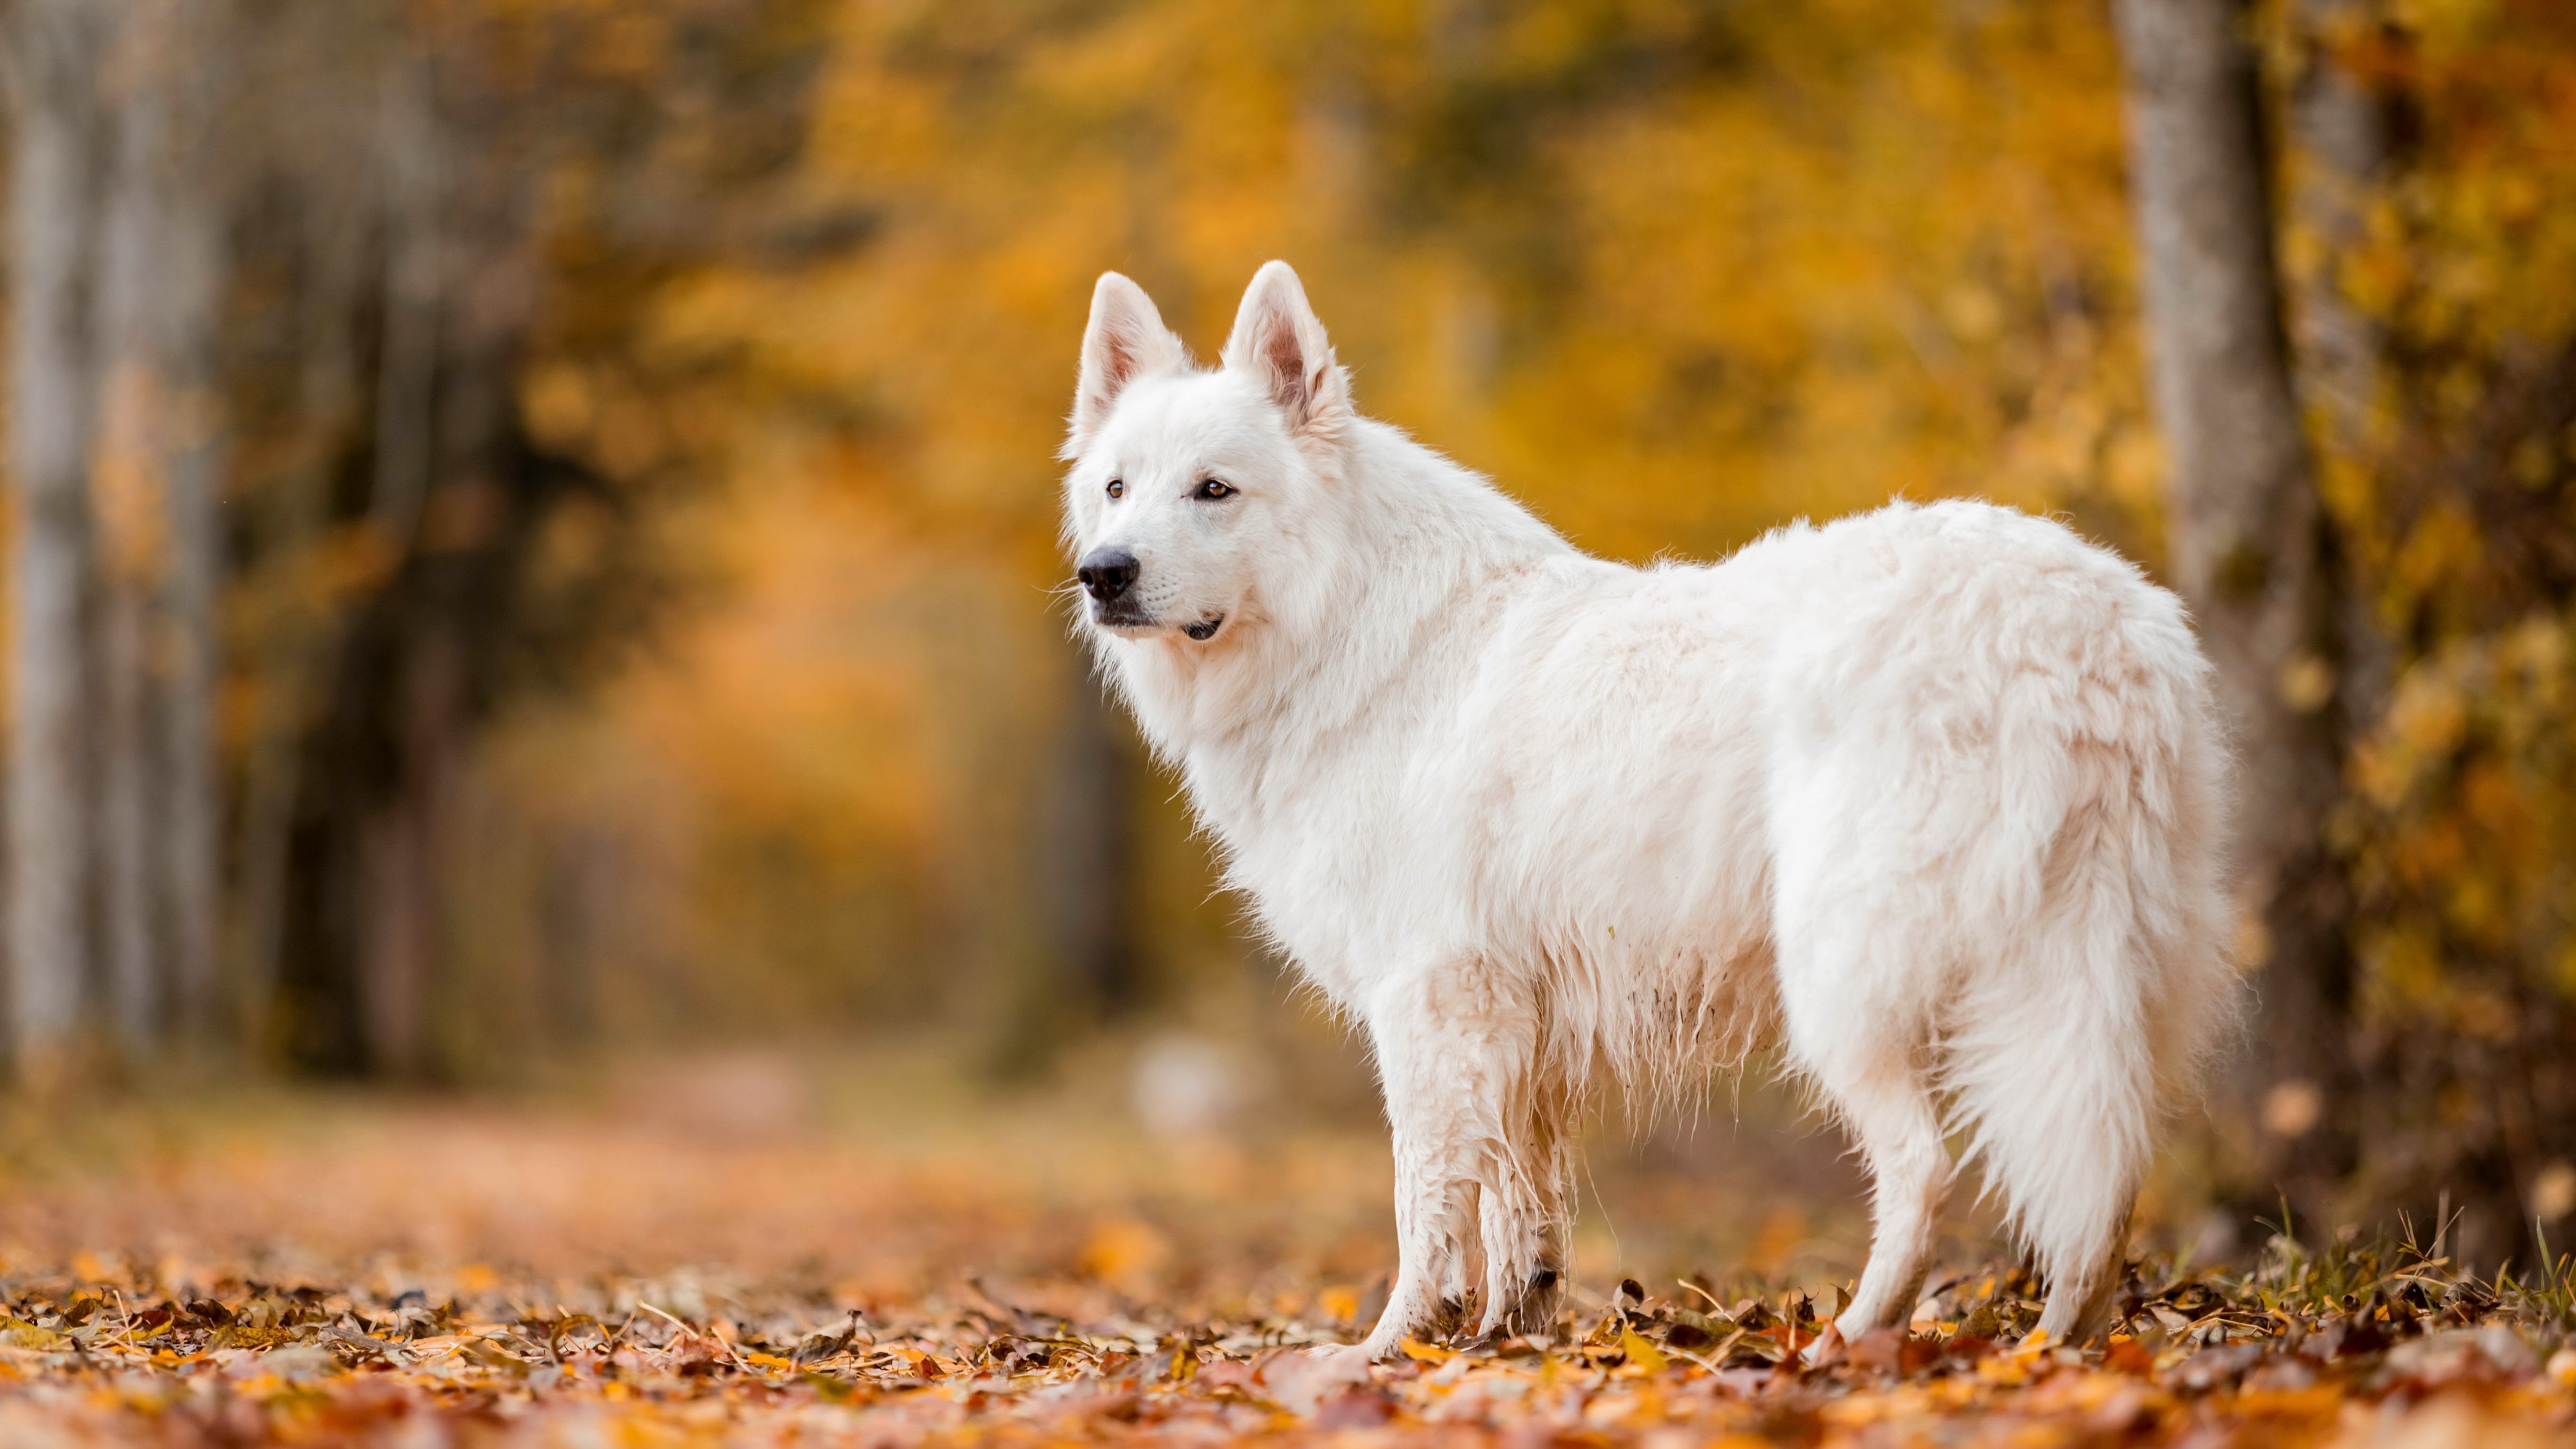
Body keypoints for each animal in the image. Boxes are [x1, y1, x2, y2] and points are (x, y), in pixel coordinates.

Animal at [1061, 262, 2236, 1350]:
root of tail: (2082, 628)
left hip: (1847, 976)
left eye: (1215, 490)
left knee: (1926, 1170)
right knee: (2103, 1177)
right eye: (1118, 489)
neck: (1347, 626)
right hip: (2104, 974)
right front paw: (1507, 1343)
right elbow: (1522, 1213)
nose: (1102, 574)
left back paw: (1856, 1344)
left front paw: (1395, 1348)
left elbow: (1426, 1201)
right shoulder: (1516, 1025)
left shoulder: (1432, 1002)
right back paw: (2057, 1346)